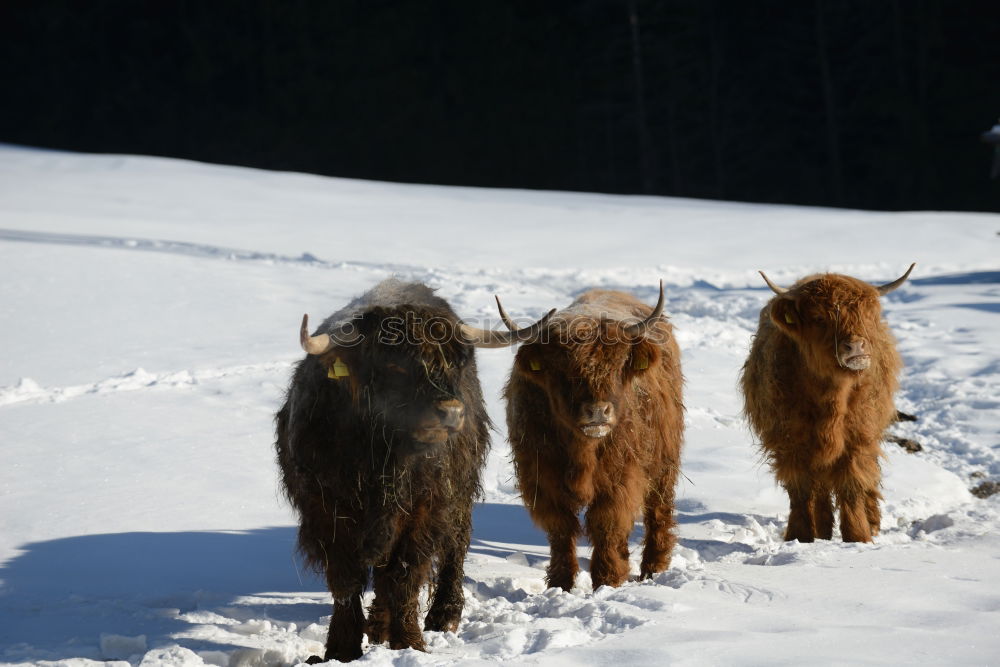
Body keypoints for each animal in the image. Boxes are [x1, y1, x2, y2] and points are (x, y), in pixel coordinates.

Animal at [274, 278, 544, 664]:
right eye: (394, 364)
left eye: (455, 362)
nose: (450, 411)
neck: (382, 460)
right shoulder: (324, 512)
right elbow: (345, 580)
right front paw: (341, 650)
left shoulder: (424, 510)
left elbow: (405, 575)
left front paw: (409, 644)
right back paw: (377, 625)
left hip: (459, 491)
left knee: (454, 544)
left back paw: (443, 615)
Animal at [504, 284, 684, 592]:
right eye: (561, 370)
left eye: (618, 365)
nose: (598, 411)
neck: (582, 451)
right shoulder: (541, 477)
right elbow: (561, 528)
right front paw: (561, 583)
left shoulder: (621, 478)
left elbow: (606, 524)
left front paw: (606, 582)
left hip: (664, 460)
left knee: (658, 511)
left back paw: (653, 569)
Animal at [744, 264, 916, 544]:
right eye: (819, 318)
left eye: (866, 315)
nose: (855, 345)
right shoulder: (789, 440)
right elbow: (800, 489)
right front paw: (800, 537)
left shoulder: (858, 438)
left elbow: (852, 484)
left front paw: (858, 537)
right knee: (821, 487)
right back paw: (823, 530)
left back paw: (871, 522)